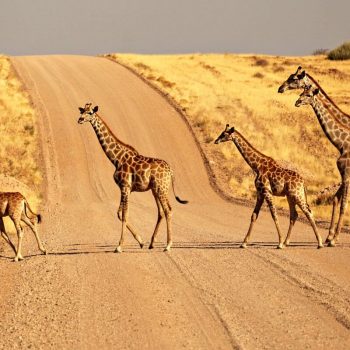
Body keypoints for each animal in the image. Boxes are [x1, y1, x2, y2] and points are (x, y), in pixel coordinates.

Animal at [78, 102, 189, 253]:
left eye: (90, 113)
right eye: (82, 111)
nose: (80, 119)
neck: (116, 159)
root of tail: (171, 171)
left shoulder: (125, 186)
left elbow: (124, 214)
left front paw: (119, 246)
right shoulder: (126, 188)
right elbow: (119, 214)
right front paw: (141, 241)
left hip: (161, 188)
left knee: (168, 210)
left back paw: (168, 245)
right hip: (155, 189)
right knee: (161, 212)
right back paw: (151, 243)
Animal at [296, 85, 350, 246]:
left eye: (308, 95)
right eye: (301, 92)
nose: (297, 102)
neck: (341, 144)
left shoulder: (347, 174)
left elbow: (343, 204)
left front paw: (334, 239)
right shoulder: (343, 175)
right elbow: (336, 199)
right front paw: (329, 237)